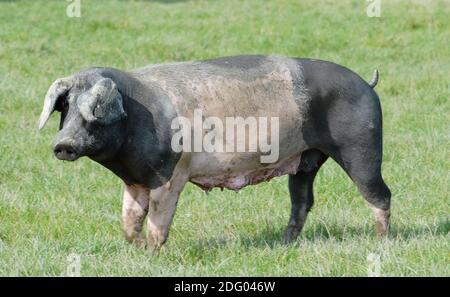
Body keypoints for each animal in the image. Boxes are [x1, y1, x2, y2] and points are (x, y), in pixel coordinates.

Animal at [38, 55, 390, 247]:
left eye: (94, 110)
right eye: (66, 108)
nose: (62, 144)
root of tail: (367, 84)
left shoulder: (172, 175)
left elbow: (158, 220)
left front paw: (152, 252)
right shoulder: (136, 179)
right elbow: (130, 220)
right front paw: (135, 248)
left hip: (362, 146)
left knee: (379, 194)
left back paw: (381, 240)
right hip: (307, 159)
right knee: (302, 201)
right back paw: (283, 243)